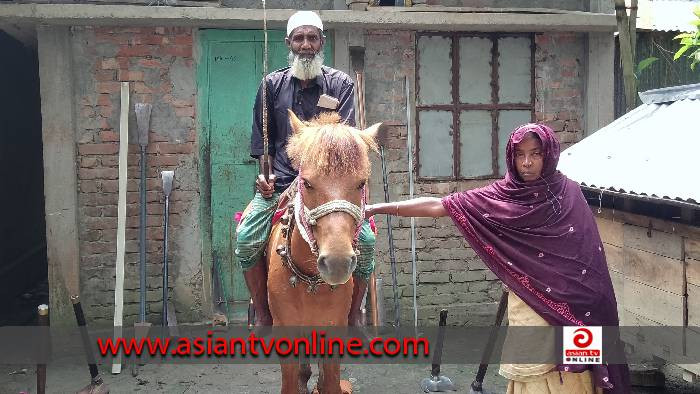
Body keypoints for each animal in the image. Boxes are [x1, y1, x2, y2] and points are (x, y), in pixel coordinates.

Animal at [264, 109, 380, 392]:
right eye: (306, 183)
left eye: (361, 183)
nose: (337, 262)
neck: (308, 281)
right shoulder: (285, 329)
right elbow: (290, 383)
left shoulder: (333, 328)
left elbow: (330, 382)